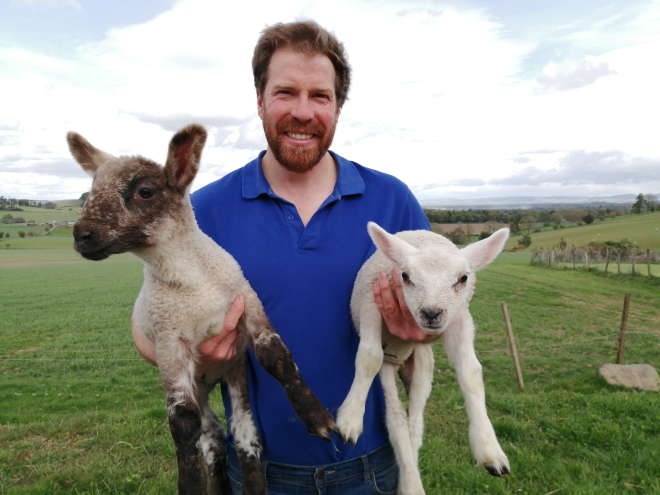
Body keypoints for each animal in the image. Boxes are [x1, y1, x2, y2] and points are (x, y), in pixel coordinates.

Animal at [67, 124, 336, 495]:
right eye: (92, 190)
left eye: (145, 191)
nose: (81, 235)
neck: (193, 284)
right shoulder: (169, 338)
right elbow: (183, 422)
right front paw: (191, 484)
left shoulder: (246, 302)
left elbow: (277, 357)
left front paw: (319, 419)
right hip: (201, 387)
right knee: (212, 439)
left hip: (234, 373)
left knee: (244, 434)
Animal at [336, 224, 510, 495]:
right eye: (405, 276)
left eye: (463, 278)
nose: (431, 313)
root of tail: (400, 359)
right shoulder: (371, 302)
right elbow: (369, 358)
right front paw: (350, 419)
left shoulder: (459, 317)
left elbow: (470, 371)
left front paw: (490, 449)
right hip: (389, 364)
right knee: (396, 419)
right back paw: (410, 484)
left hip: (422, 362)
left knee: (414, 422)